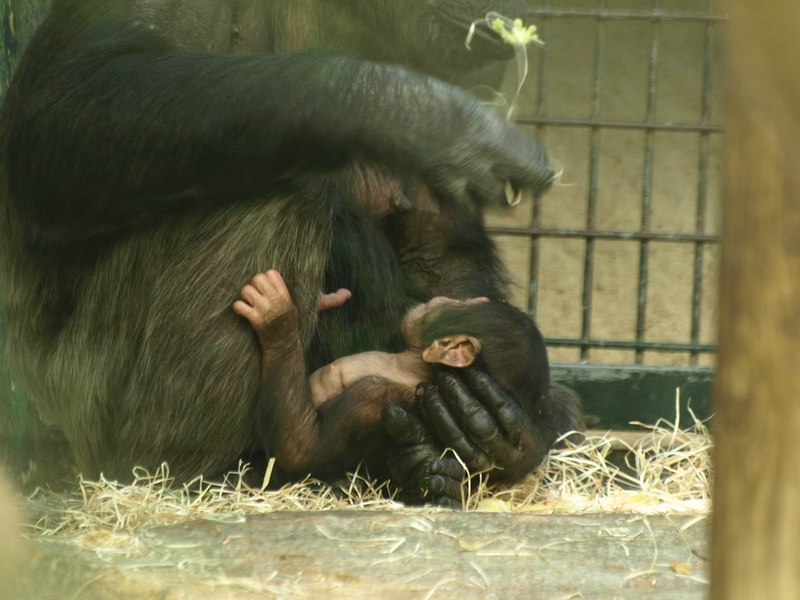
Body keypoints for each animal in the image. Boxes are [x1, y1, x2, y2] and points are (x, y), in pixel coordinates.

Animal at [0, 0, 580, 502]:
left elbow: (438, 242)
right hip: (74, 393)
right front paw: (422, 114)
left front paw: (509, 429)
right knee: (279, 186)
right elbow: (70, 99)